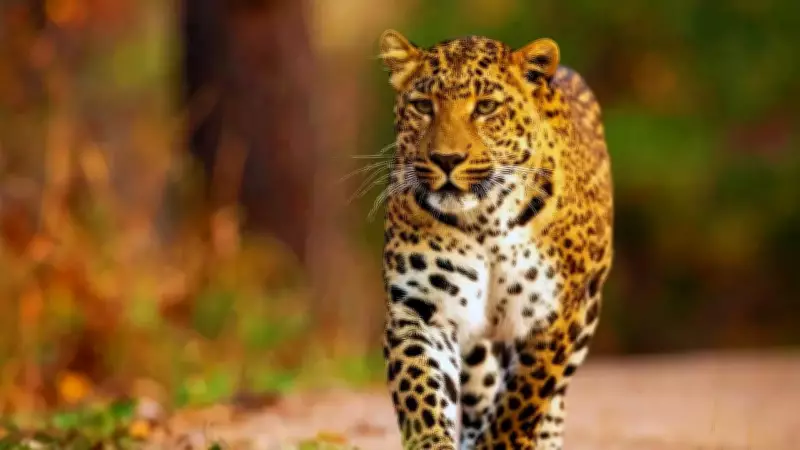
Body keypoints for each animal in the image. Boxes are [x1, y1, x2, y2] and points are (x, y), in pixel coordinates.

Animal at [377, 29, 613, 450]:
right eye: (423, 105)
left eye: (485, 107)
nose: (446, 159)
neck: (485, 221)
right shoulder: (421, 309)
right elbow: (422, 397)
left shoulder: (556, 315)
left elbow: (521, 401)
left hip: (586, 315)